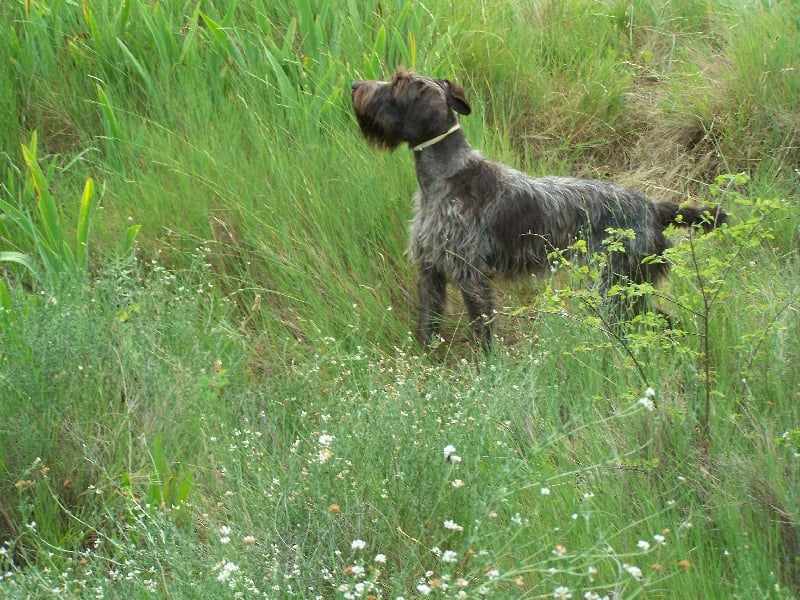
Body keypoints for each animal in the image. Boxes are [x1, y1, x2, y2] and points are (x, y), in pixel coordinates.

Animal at [350, 71, 724, 346]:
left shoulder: (472, 276)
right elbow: (427, 325)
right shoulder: (430, 269)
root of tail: (652, 206)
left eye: (397, 84)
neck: (445, 175)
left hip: (618, 288)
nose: (354, 85)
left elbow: (482, 334)